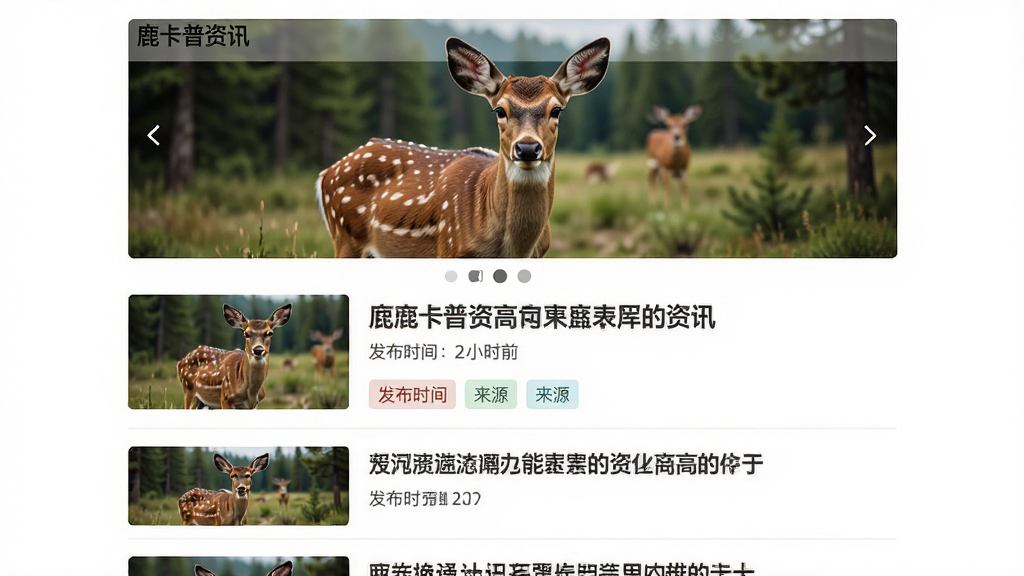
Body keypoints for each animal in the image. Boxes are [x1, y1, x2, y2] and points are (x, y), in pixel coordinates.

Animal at [316, 36, 610, 258]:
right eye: (500, 110)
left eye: (556, 110)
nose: (527, 148)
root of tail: (325, 174)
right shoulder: (449, 247)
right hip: (345, 236)